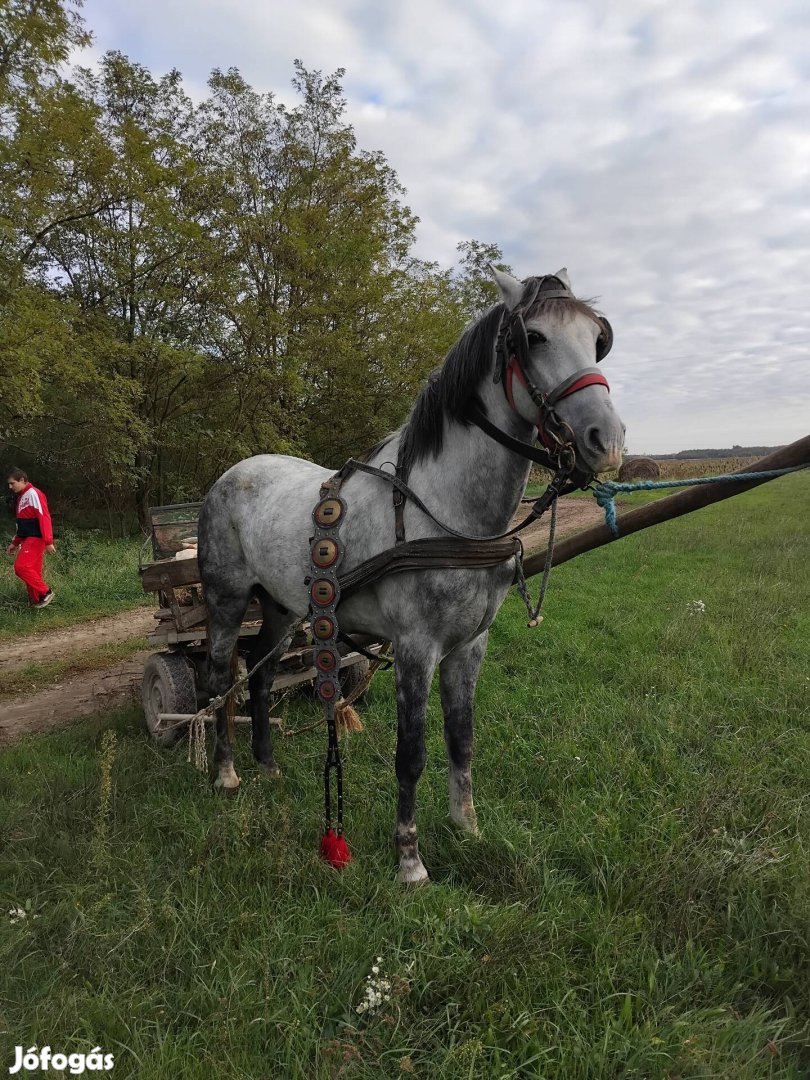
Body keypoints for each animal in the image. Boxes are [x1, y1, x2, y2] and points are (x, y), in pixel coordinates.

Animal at [198, 265, 626, 881]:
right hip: (227, 598)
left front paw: (467, 828)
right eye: (535, 338)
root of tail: (230, 475)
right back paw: (226, 772)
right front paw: (409, 858)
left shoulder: (470, 645)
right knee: (219, 678)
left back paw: (268, 765)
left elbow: (461, 739)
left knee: (259, 671)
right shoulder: (415, 646)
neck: (445, 511)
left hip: (282, 607)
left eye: (597, 339)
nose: (607, 442)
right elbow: (412, 753)